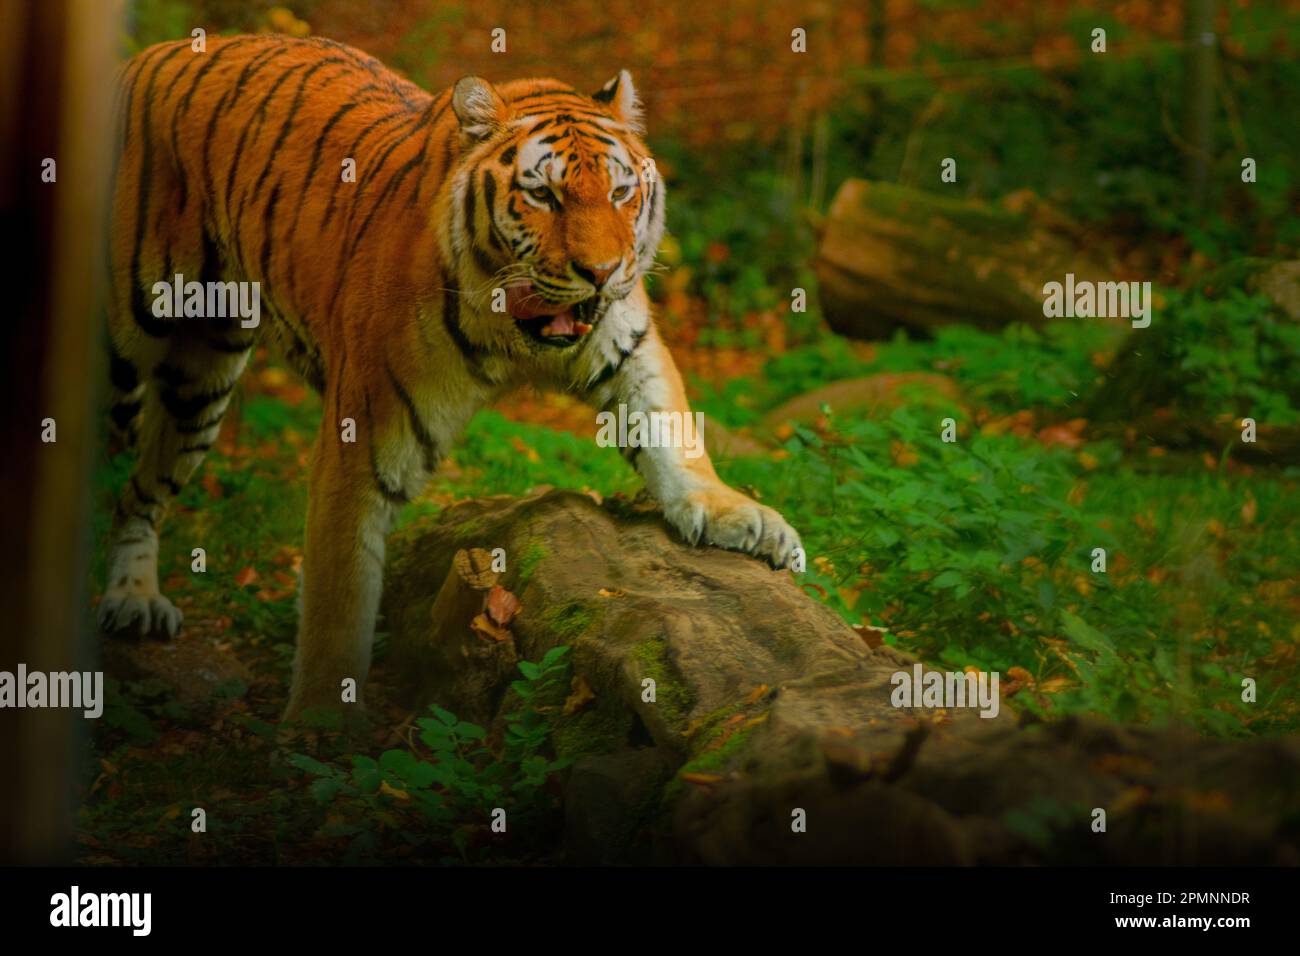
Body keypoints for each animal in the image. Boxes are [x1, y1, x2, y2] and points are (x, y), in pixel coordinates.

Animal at [102, 35, 801, 719]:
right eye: (543, 195)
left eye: (620, 193)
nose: (602, 272)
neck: (516, 333)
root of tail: (148, 54)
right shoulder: (361, 436)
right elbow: (339, 597)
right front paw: (321, 729)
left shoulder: (629, 347)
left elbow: (672, 433)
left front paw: (739, 518)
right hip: (132, 348)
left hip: (203, 376)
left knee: (141, 490)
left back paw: (135, 599)